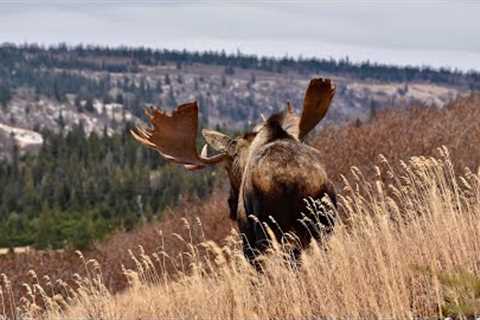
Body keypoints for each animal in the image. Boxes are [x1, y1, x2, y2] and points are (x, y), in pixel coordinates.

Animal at [131, 78, 338, 268]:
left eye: (227, 168)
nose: (230, 203)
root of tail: (292, 180)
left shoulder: (247, 235)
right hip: (323, 223)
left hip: (271, 230)